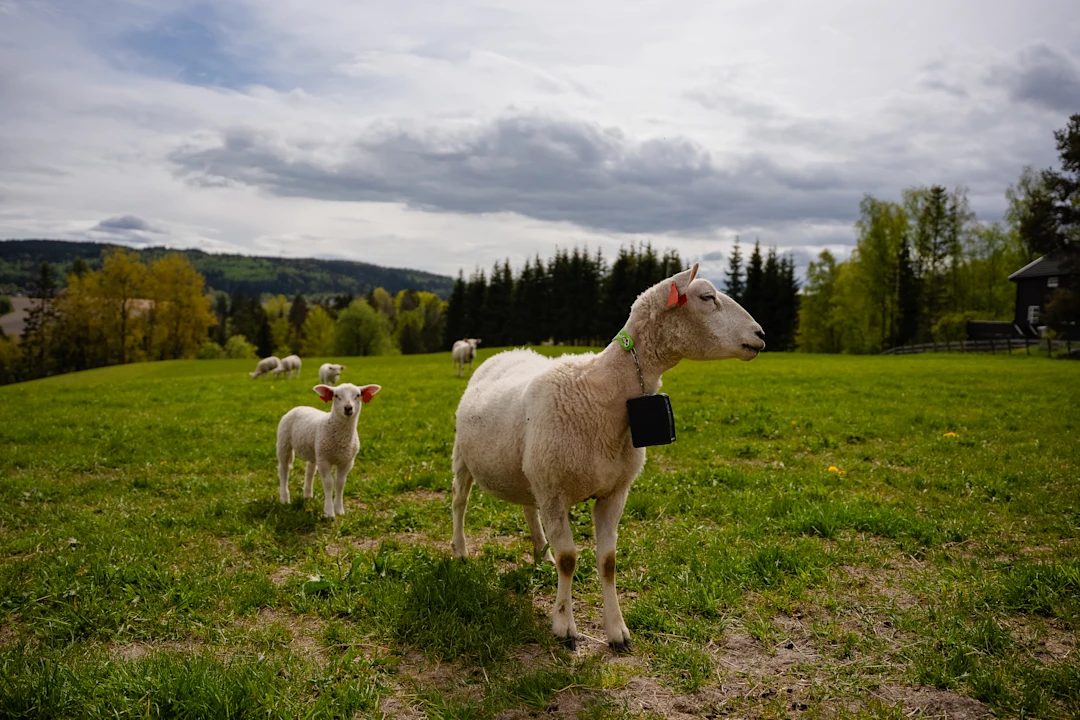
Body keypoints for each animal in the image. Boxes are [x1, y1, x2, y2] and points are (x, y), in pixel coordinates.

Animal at [276, 382, 382, 518]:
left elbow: (340, 484)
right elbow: (328, 483)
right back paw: (284, 498)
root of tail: (299, 407)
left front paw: (339, 509)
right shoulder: (324, 460)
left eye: (358, 395)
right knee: (284, 471)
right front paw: (329, 512)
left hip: (315, 450)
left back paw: (307, 494)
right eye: (336, 395)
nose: (348, 408)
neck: (342, 439)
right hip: (284, 443)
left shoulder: (347, 461)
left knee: (309, 471)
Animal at [450, 264, 764, 652]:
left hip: (528, 469)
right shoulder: (555, 492)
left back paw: (541, 552)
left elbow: (609, 561)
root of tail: (507, 352)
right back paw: (461, 550)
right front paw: (564, 626)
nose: (761, 334)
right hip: (465, 455)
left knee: (527, 508)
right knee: (460, 501)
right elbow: (569, 559)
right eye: (707, 297)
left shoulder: (614, 492)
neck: (601, 391)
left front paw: (617, 631)